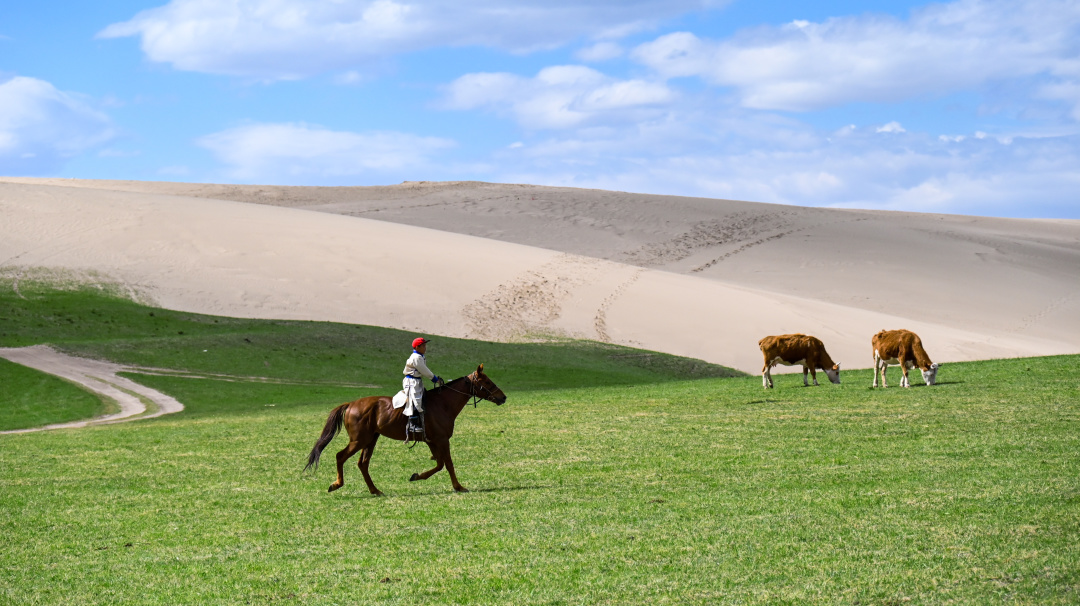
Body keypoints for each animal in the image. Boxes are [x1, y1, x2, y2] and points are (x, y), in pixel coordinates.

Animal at [304, 364, 506, 495]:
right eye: (487, 382)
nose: (503, 397)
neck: (443, 403)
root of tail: (351, 404)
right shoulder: (442, 440)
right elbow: (448, 464)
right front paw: (458, 487)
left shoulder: (432, 441)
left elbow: (440, 464)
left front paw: (416, 476)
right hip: (359, 440)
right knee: (341, 456)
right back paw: (337, 484)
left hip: (370, 439)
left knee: (363, 463)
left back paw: (375, 490)